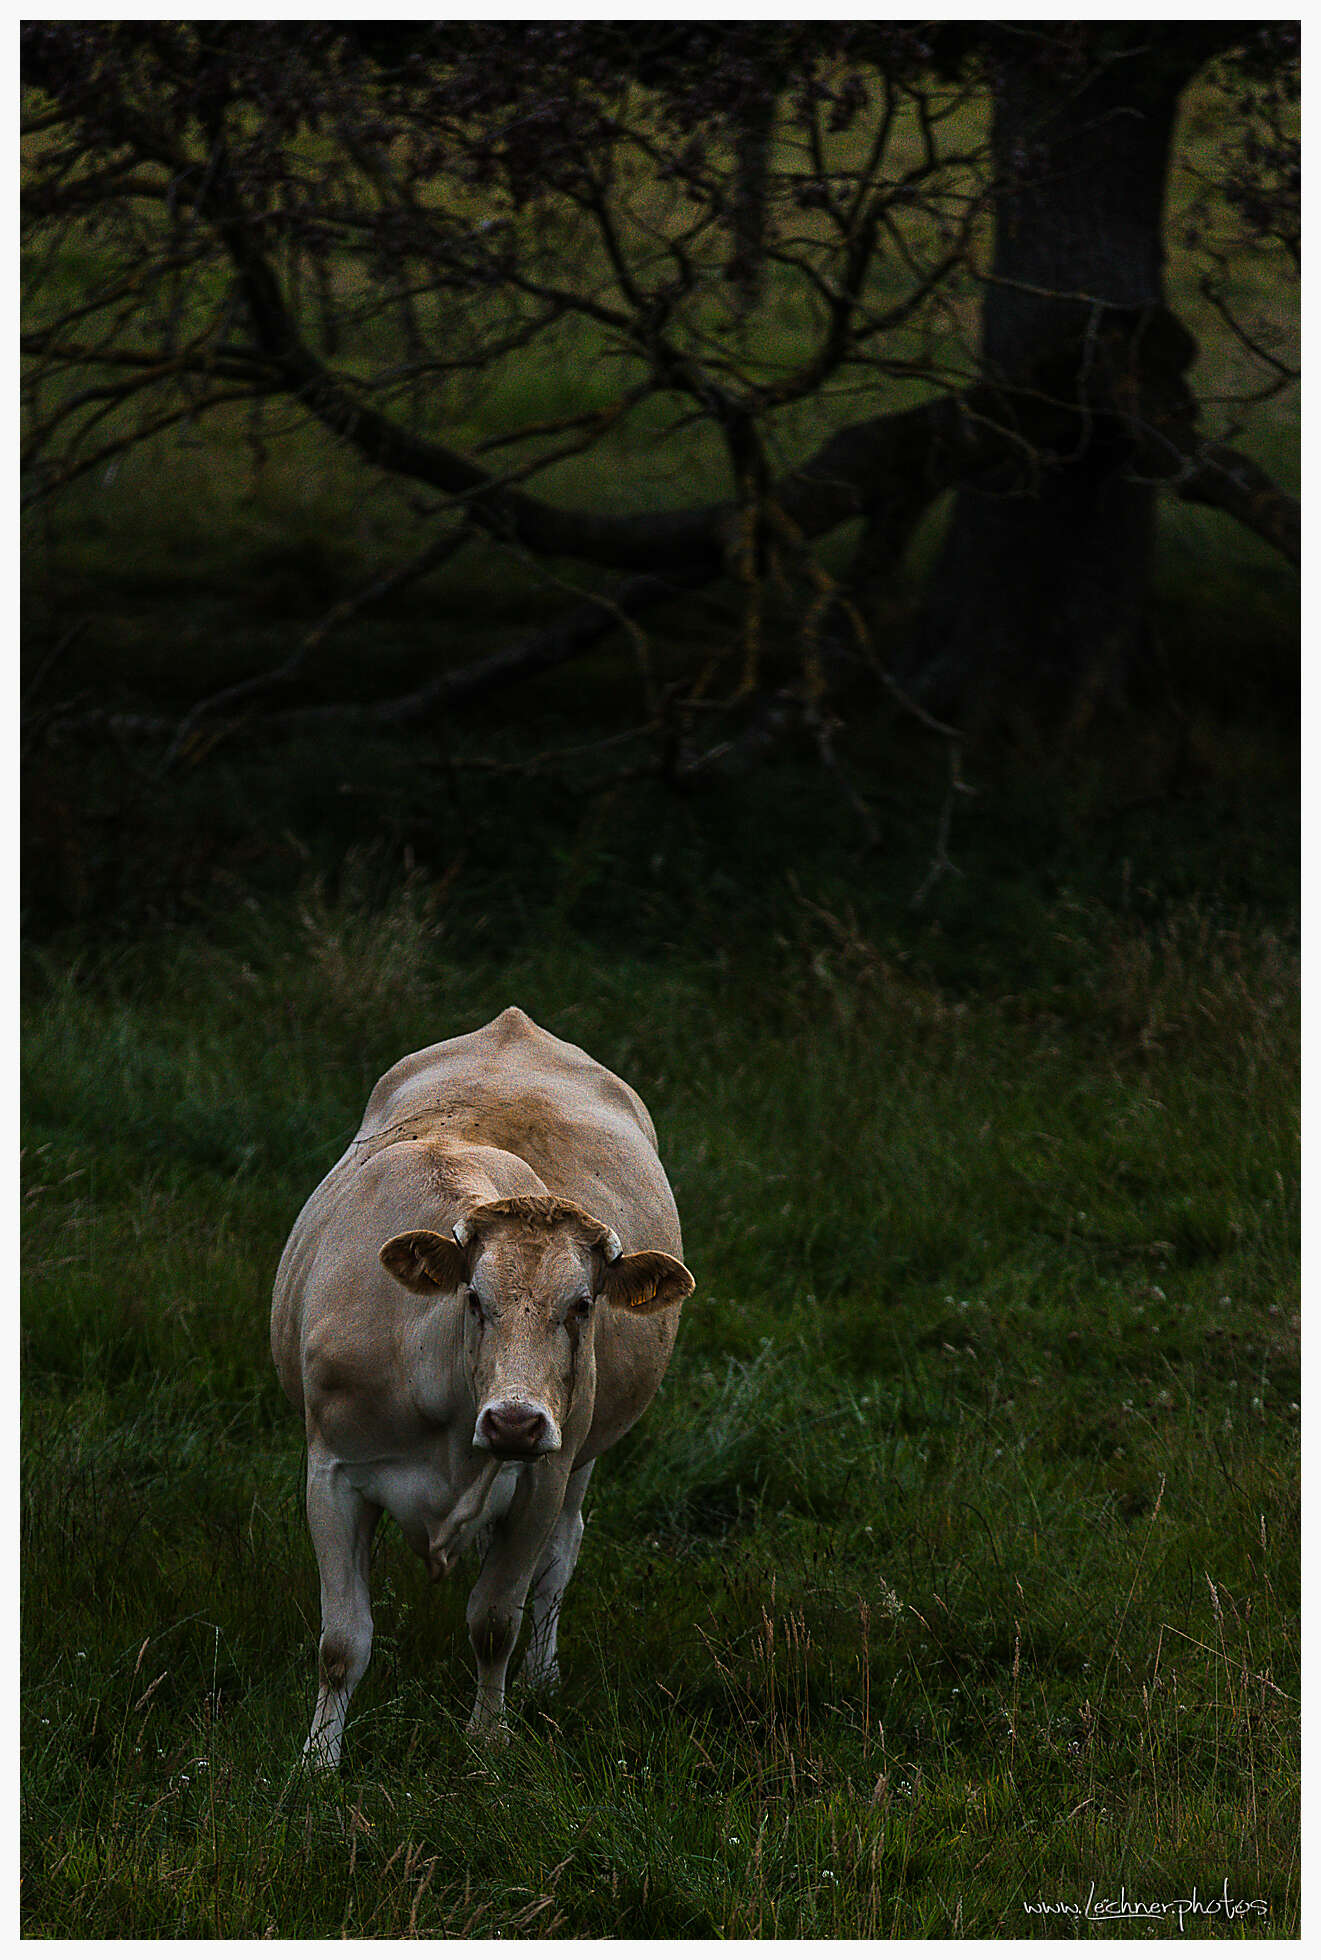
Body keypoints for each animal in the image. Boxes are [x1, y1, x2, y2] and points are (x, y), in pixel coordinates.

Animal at [271, 1006, 695, 1767]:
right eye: (474, 1297)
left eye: (582, 1305)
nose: (514, 1423)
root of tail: (513, 1025)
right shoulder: (331, 1473)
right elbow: (342, 1641)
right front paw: (317, 1761)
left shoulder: (542, 1479)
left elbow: (495, 1619)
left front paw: (488, 1739)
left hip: (581, 1457)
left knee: (560, 1557)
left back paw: (542, 1677)